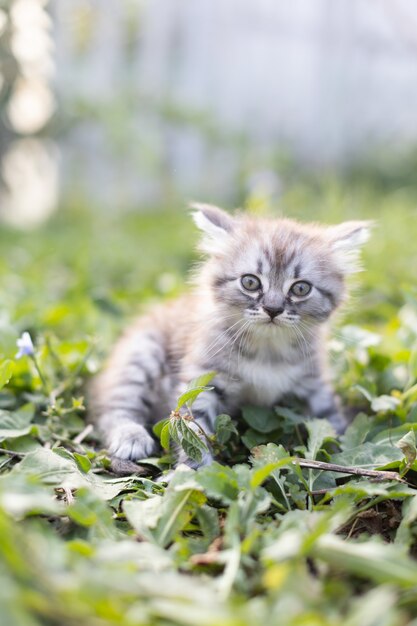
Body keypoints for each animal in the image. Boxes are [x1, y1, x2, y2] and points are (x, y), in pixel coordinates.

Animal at [89, 205, 368, 464]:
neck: (268, 350)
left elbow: (330, 420)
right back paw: (130, 436)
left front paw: (347, 453)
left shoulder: (314, 383)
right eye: (250, 282)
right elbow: (194, 432)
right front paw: (193, 472)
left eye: (301, 288)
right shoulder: (202, 382)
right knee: (114, 406)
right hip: (142, 355)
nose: (273, 309)